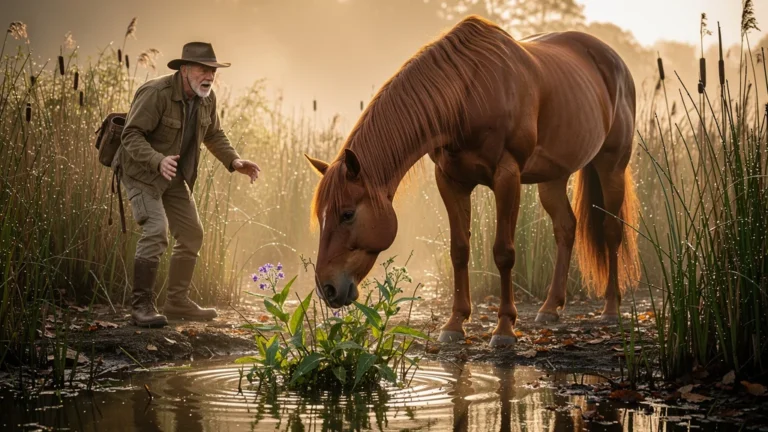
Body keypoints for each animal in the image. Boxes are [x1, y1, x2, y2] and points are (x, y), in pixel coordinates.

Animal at [304, 15, 640, 347]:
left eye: (348, 214)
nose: (327, 289)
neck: (468, 94)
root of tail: (616, 63)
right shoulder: (450, 180)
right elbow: (459, 250)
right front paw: (455, 324)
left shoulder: (507, 177)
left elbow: (504, 253)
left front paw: (504, 329)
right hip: (554, 178)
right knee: (566, 228)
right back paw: (550, 308)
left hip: (611, 166)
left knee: (611, 231)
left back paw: (611, 309)